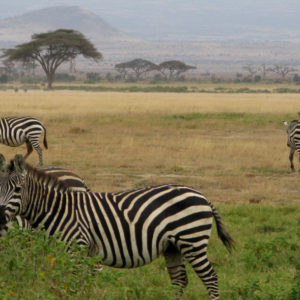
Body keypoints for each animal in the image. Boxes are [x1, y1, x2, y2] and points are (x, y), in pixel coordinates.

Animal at [0, 155, 234, 300]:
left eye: (18, 189)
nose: (0, 217)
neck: (59, 210)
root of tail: (202, 195)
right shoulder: (83, 253)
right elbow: (79, 282)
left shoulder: (78, 247)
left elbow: (74, 283)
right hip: (173, 247)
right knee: (179, 281)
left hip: (192, 241)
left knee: (210, 278)